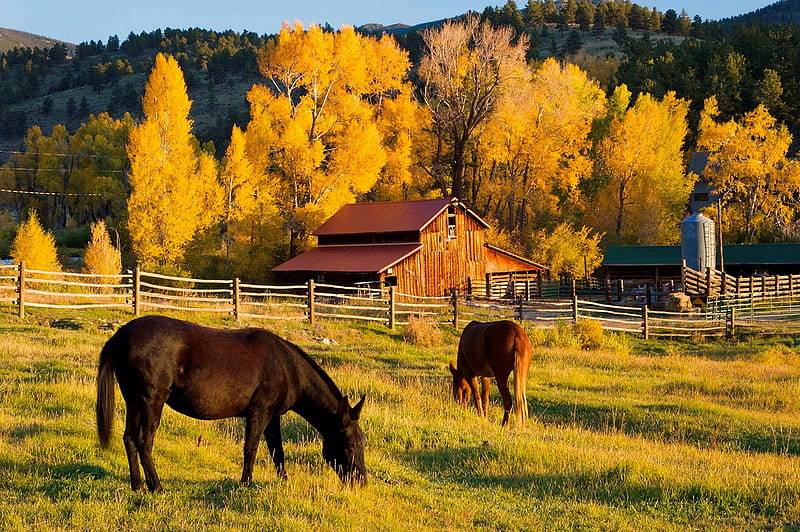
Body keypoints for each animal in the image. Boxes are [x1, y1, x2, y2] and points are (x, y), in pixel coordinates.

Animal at [97, 314, 368, 492]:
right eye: (349, 443)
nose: (361, 481)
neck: (287, 367)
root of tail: (120, 335)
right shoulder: (259, 413)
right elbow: (251, 449)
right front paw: (246, 483)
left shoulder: (273, 417)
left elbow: (277, 451)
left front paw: (284, 481)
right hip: (151, 402)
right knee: (145, 443)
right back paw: (156, 486)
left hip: (134, 401)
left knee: (130, 439)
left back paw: (137, 485)